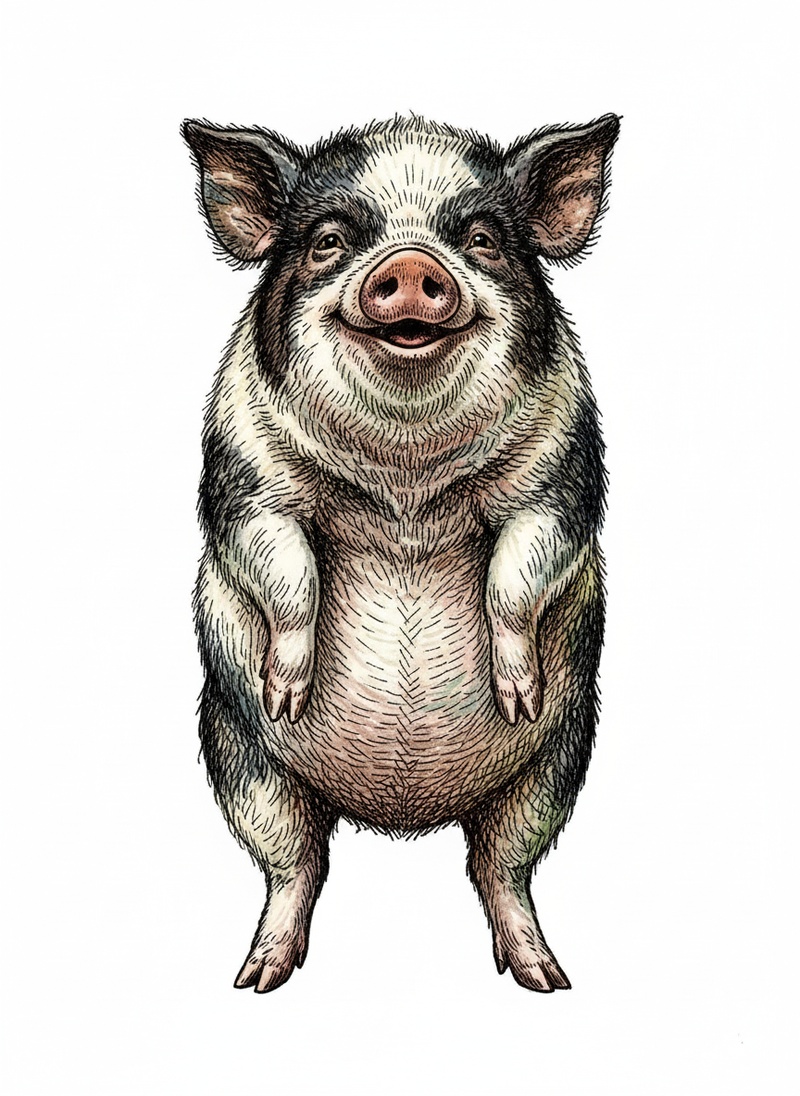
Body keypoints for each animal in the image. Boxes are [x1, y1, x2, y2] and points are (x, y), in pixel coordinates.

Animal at [183, 113, 619, 993]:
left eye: (481, 239)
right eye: (329, 241)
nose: (412, 265)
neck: (405, 484)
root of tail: (401, 815)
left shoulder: (560, 472)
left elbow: (522, 568)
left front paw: (516, 692)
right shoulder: (246, 474)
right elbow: (281, 565)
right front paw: (287, 691)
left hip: (556, 764)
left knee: (501, 868)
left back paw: (545, 977)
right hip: (241, 759)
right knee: (296, 866)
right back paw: (258, 976)